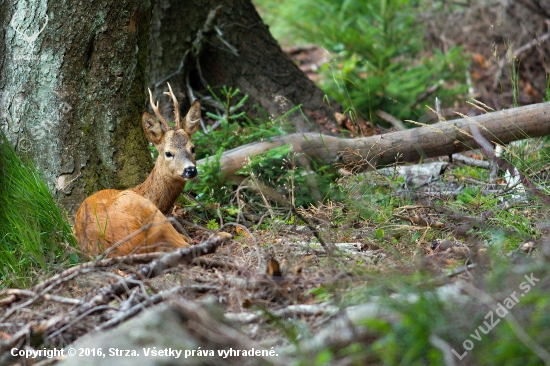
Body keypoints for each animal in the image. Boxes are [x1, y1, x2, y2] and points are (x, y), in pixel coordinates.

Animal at [73, 85, 202, 258]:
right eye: (168, 153)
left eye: (192, 148)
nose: (190, 170)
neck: (144, 192)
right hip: (154, 216)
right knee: (186, 244)